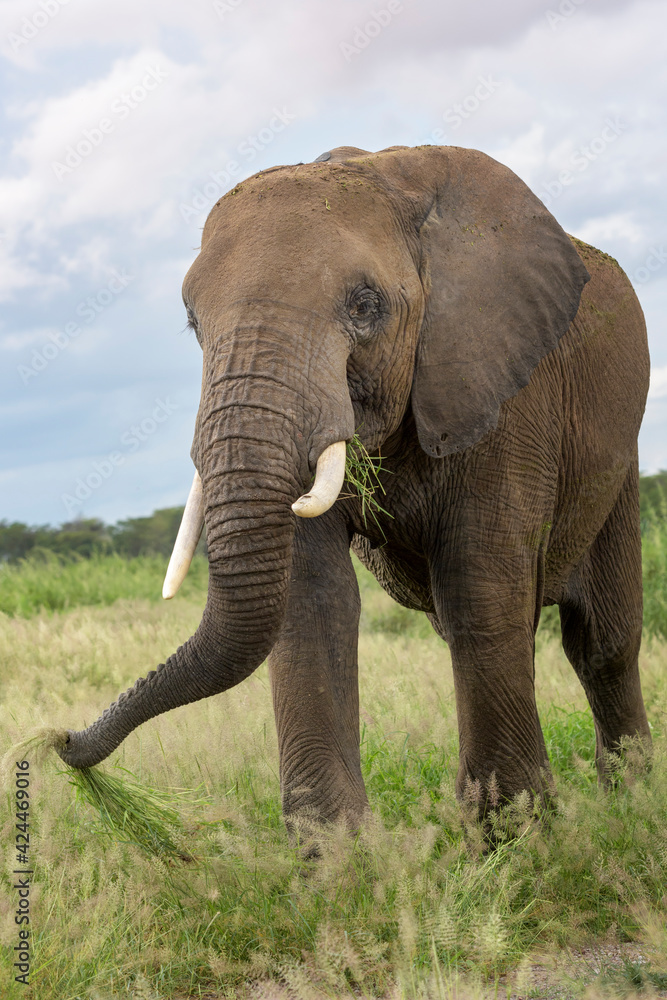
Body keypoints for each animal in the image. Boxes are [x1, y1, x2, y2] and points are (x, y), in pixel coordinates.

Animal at [57, 144, 651, 831]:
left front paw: (515, 834)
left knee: (601, 642)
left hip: (619, 461)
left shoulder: (505, 387)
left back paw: (630, 805)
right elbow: (314, 597)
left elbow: (481, 585)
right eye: (191, 322)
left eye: (365, 306)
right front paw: (336, 854)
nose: (60, 742)